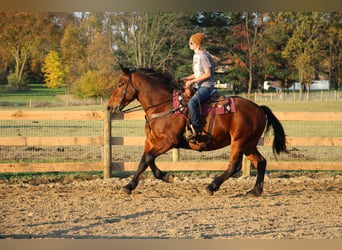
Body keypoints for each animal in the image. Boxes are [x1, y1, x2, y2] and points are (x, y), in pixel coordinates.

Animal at [108, 65, 288, 197]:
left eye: (120, 84)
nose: (110, 107)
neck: (164, 106)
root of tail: (259, 108)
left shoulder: (168, 141)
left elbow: (147, 159)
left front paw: (130, 185)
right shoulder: (151, 141)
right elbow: (146, 160)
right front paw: (164, 176)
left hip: (239, 141)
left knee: (234, 165)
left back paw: (212, 186)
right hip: (249, 144)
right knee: (261, 162)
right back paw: (255, 190)